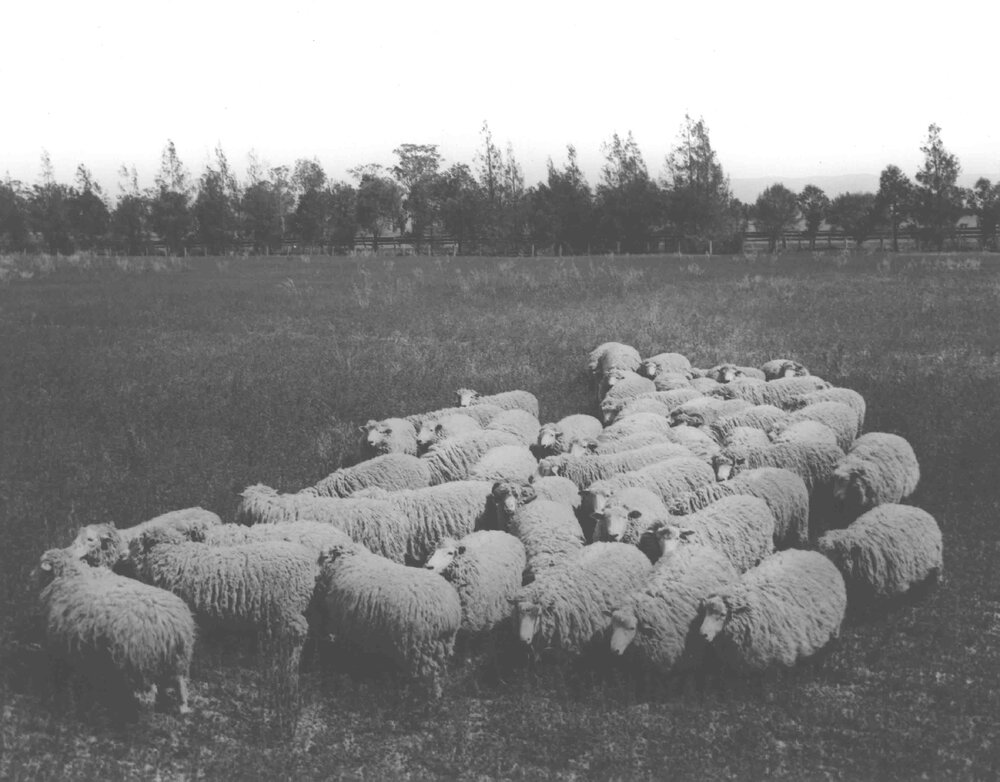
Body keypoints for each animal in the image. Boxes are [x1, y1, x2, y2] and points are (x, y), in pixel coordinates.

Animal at [37, 548, 196, 716]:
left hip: (140, 664)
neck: (72, 573)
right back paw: (183, 708)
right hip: (178, 659)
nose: (32, 576)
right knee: (180, 684)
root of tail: (172, 626)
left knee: (149, 696)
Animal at [317, 542, 461, 698]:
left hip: (421, 647)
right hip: (441, 645)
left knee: (427, 676)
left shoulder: (347, 625)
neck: (349, 560)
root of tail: (449, 613)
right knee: (438, 671)